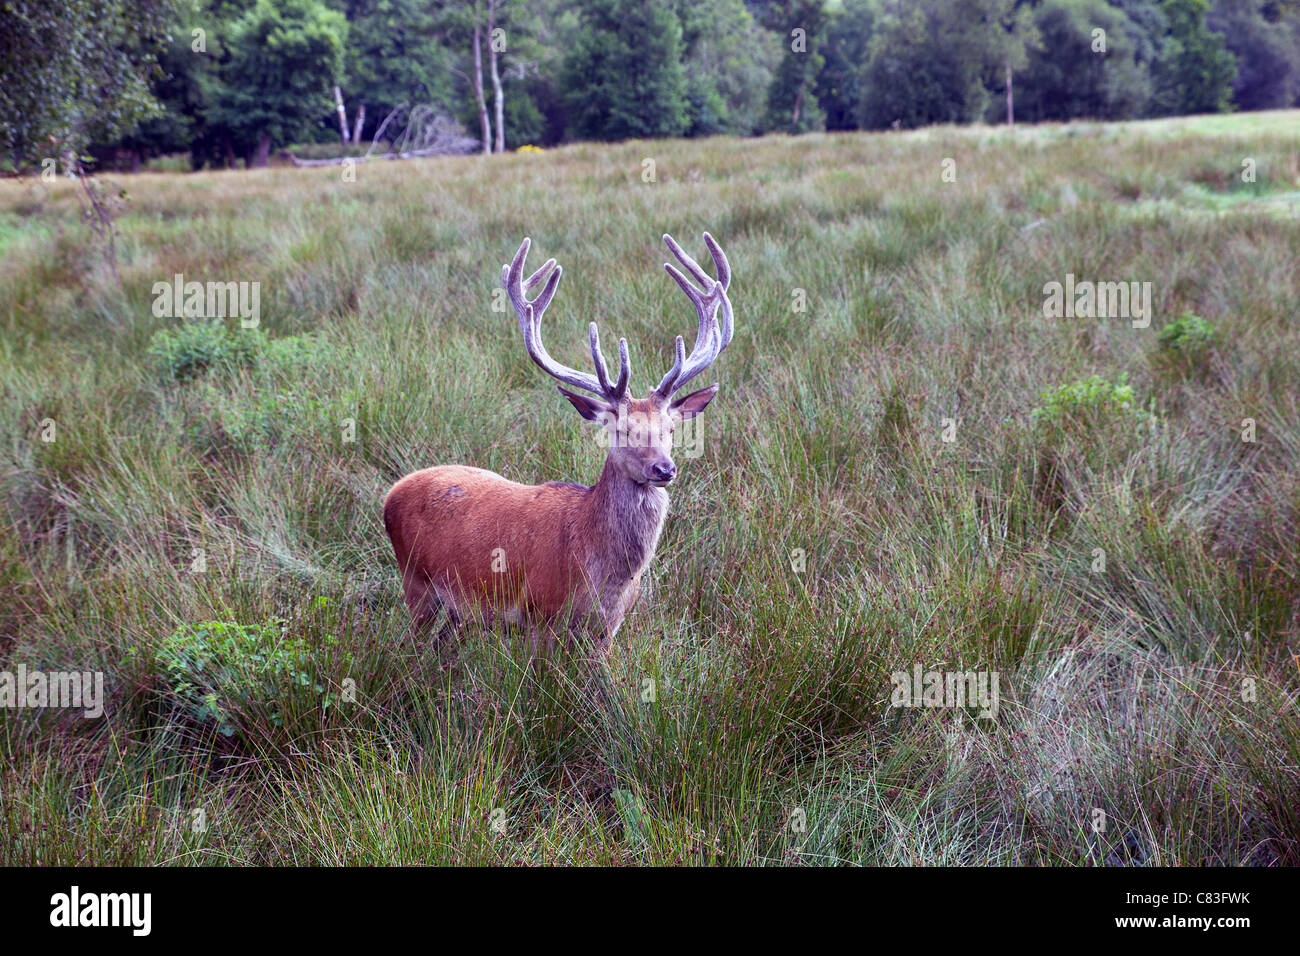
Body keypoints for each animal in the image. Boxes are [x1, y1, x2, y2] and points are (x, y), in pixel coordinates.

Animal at [379, 232, 738, 655]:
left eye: (669, 428)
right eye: (621, 429)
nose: (663, 468)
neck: (601, 572)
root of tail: (392, 493)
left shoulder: (608, 629)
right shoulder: (538, 612)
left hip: (458, 611)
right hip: (415, 582)